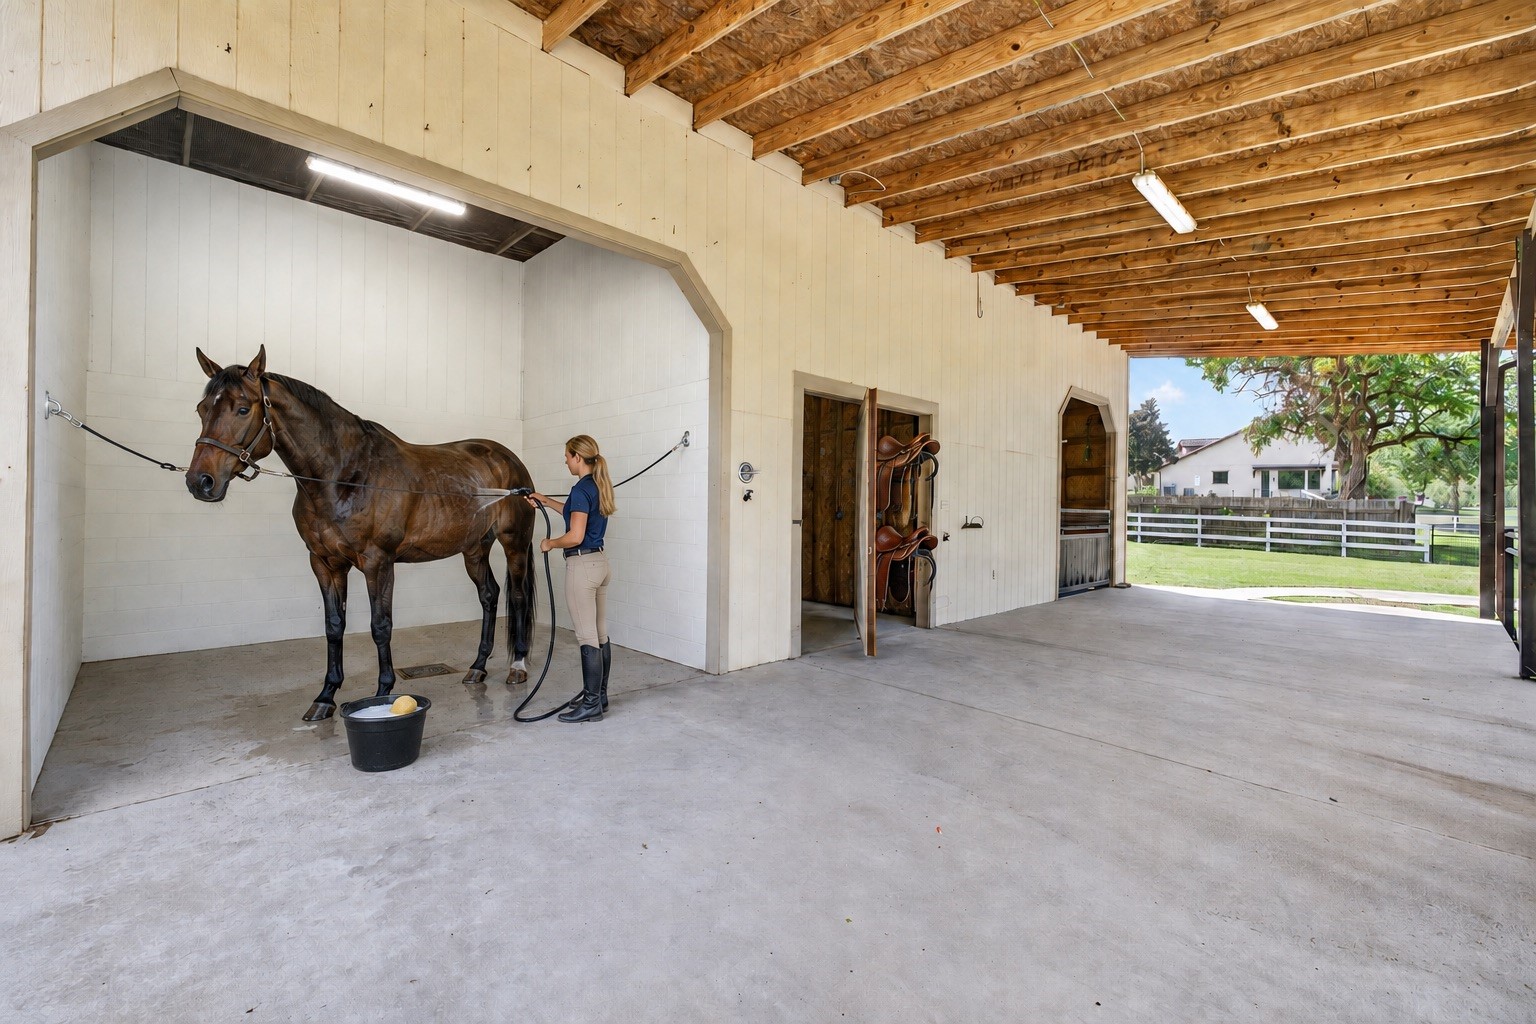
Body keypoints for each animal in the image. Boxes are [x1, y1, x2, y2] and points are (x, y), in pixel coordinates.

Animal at [185, 346, 538, 722]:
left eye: (242, 408)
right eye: (202, 409)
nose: (200, 482)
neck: (344, 475)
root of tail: (509, 460)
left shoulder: (378, 563)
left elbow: (380, 626)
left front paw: (383, 694)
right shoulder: (324, 563)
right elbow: (334, 626)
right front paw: (325, 696)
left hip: (514, 543)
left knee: (517, 595)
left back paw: (518, 667)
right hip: (474, 548)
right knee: (489, 595)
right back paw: (477, 667)